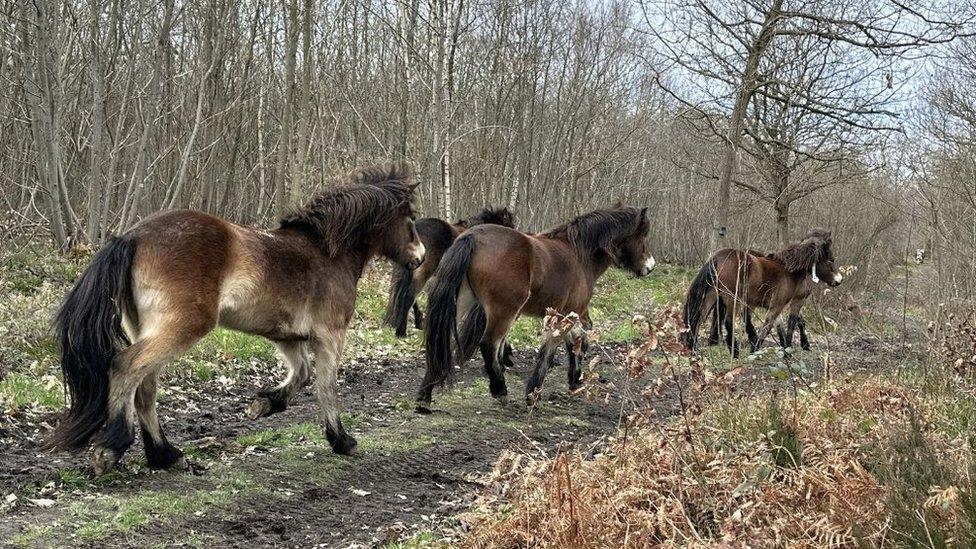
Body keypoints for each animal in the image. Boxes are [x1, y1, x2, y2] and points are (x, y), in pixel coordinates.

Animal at [416, 207, 652, 412]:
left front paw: (575, 380)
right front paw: (533, 394)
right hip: (504, 311)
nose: (649, 267)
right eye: (642, 234)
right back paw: (500, 390)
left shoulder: (572, 314)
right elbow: (550, 352)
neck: (579, 255)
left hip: (463, 303)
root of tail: (472, 236)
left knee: (439, 338)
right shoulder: (565, 316)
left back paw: (425, 395)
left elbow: (577, 343)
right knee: (489, 344)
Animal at [684, 228, 844, 354]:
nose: (839, 280)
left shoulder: (775, 306)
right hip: (732, 299)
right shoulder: (783, 304)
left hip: (712, 296)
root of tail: (717, 258)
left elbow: (779, 326)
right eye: (831, 259)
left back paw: (694, 349)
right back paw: (734, 352)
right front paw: (756, 350)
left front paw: (785, 349)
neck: (788, 270)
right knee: (728, 321)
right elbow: (773, 326)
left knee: (698, 318)